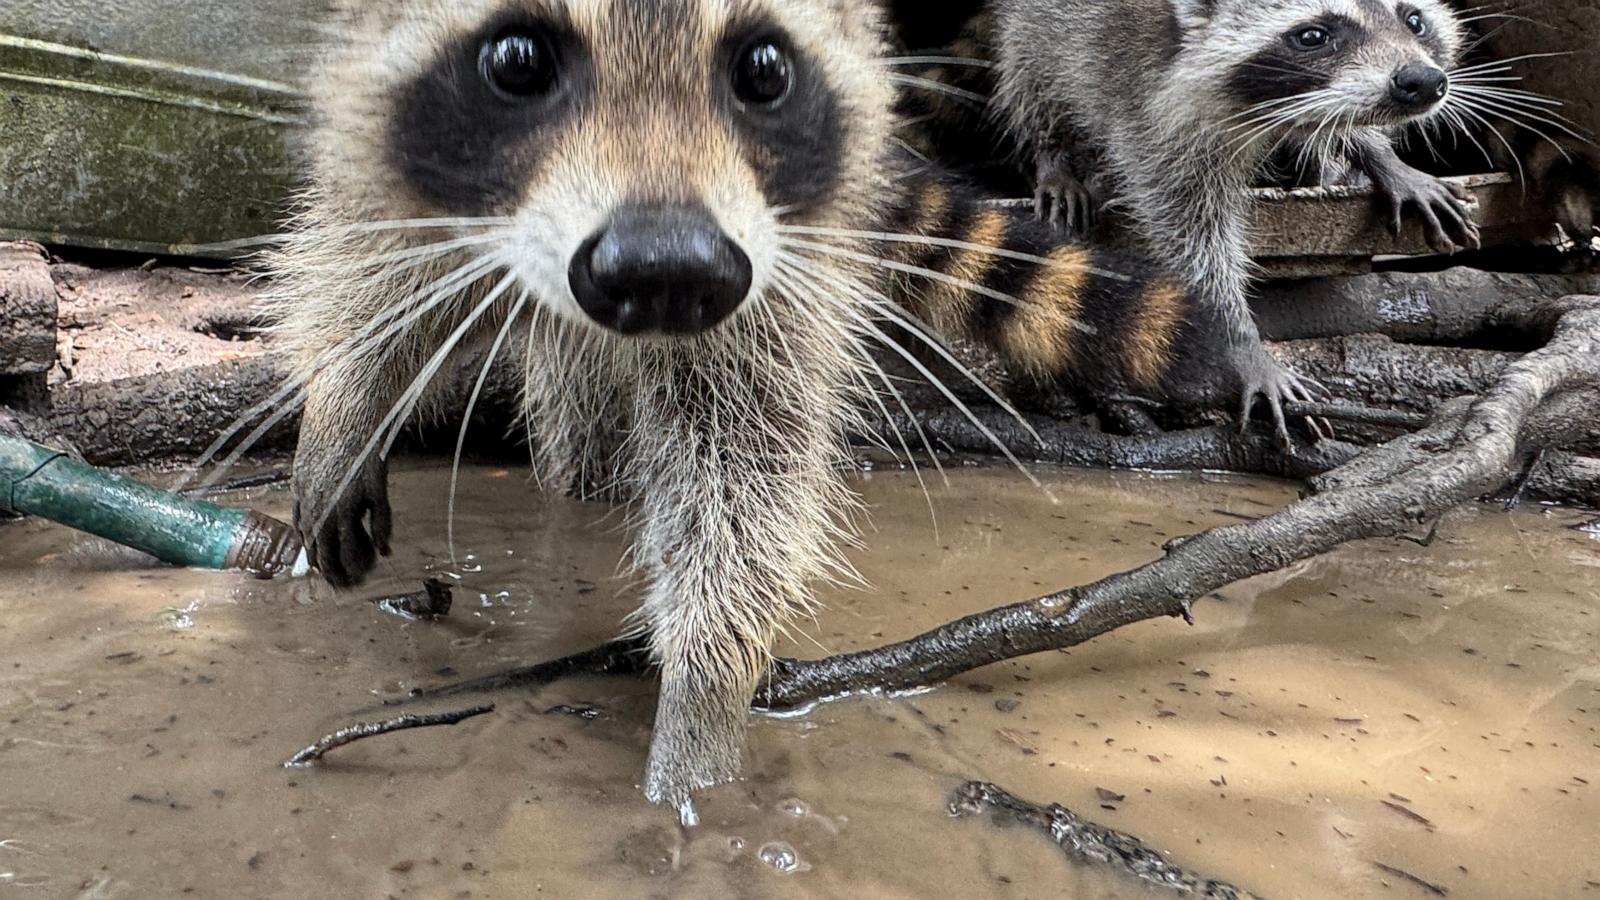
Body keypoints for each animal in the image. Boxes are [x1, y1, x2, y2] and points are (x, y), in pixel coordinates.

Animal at [267, 0, 1239, 821]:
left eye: (765, 71)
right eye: (517, 62)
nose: (662, 271)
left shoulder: (770, 261)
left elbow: (746, 458)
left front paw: (703, 698)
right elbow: (368, 260)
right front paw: (342, 414)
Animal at [993, 0, 1484, 433]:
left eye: (1414, 21)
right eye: (1313, 36)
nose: (1424, 81)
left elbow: (1336, 120)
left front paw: (1381, 156)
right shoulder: (1148, 104)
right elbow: (1190, 235)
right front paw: (1239, 338)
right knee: (1031, 69)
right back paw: (1054, 157)